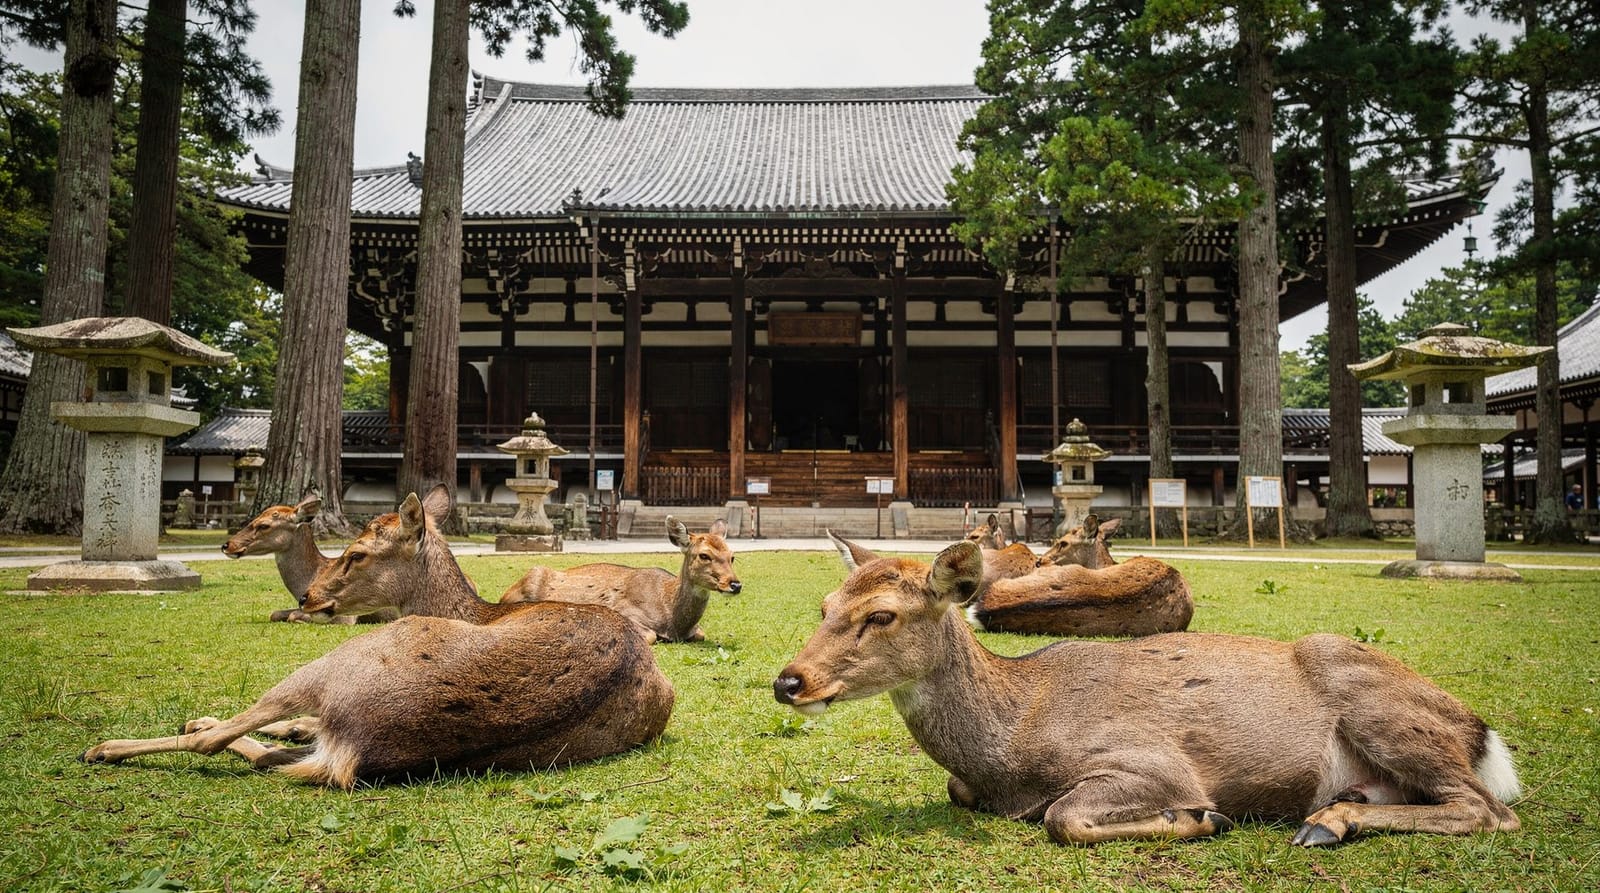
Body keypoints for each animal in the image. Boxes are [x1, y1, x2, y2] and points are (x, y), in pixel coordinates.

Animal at [498, 517, 741, 643]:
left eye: (732, 556)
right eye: (704, 555)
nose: (735, 584)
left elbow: (701, 633)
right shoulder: (625, 611)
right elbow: (650, 636)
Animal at [773, 536, 1521, 847]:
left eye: (881, 615)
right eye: (823, 604)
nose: (788, 680)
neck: (1010, 743)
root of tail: (1481, 731)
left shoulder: (1152, 760)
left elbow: (1063, 817)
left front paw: (1200, 819)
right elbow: (967, 794)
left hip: (1376, 704)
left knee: (1489, 810)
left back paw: (1327, 821)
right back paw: (1337, 813)